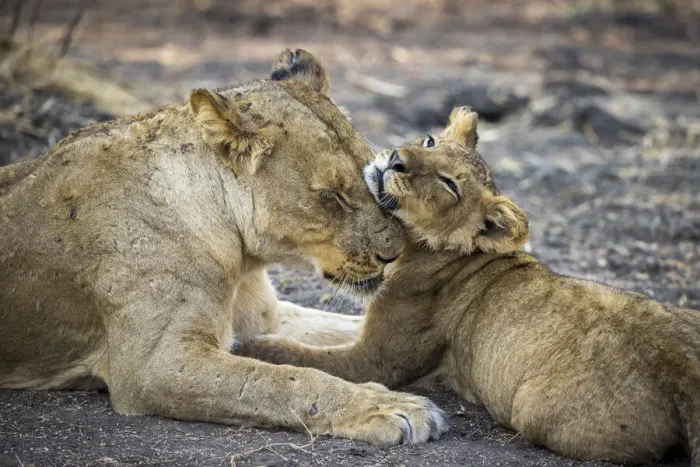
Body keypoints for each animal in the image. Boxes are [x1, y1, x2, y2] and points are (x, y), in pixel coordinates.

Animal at [0, 49, 448, 446]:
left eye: (375, 173)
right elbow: (285, 382)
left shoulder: (262, 318)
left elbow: (339, 329)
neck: (241, 258)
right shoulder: (156, 365)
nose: (394, 254)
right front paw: (387, 407)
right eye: (332, 196)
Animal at [240, 107, 700, 465]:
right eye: (429, 142)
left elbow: (302, 355)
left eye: (449, 184)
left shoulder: (377, 361)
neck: (422, 248)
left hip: (534, 409)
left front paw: (252, 347)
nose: (397, 160)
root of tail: (684, 372)